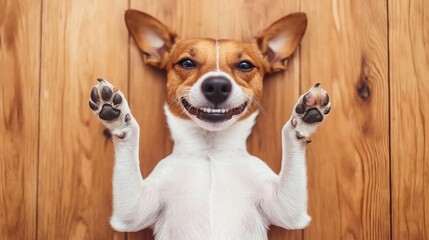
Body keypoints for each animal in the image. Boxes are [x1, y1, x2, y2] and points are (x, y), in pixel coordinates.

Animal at [88, 9, 332, 240]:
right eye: (187, 62)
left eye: (245, 65)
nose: (216, 85)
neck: (210, 152)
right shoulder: (134, 210)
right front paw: (117, 115)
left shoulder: (286, 208)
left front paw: (304, 118)